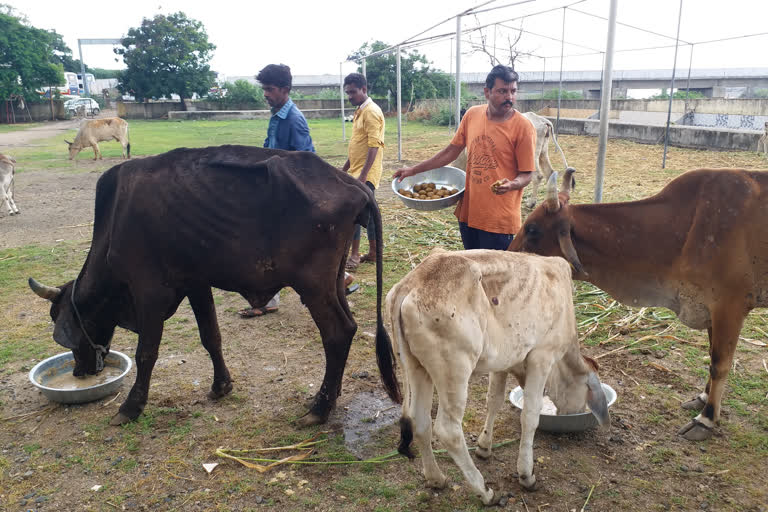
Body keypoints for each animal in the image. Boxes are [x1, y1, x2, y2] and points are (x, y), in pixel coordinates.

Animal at [30, 145, 402, 428]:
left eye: (63, 324)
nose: (78, 371)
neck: (115, 219)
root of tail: (351, 184)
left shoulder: (149, 290)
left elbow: (146, 352)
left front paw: (131, 406)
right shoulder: (196, 283)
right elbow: (211, 336)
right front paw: (221, 385)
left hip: (312, 285)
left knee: (337, 333)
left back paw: (319, 408)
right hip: (332, 281)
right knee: (347, 327)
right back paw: (328, 398)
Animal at [388, 250, 608, 506]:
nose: (574, 412)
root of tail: (413, 282)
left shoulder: (503, 362)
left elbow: (494, 400)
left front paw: (484, 447)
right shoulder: (542, 357)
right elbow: (530, 416)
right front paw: (526, 475)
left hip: (415, 367)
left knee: (419, 420)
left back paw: (436, 478)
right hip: (454, 370)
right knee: (447, 430)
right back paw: (484, 491)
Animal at [510, 168, 768, 440]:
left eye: (532, 229)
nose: (508, 253)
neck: (684, 229)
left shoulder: (729, 306)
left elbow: (719, 364)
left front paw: (706, 418)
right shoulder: (710, 308)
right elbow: (711, 357)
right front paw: (703, 397)